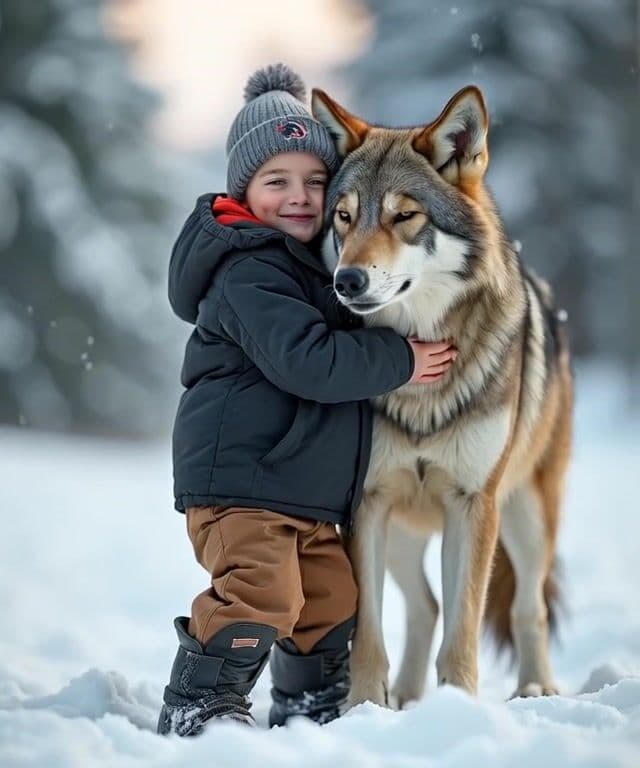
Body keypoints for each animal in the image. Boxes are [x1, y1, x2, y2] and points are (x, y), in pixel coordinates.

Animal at [311, 85, 573, 707]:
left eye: (405, 216)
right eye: (344, 217)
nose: (347, 281)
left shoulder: (472, 503)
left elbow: (464, 627)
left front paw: (460, 706)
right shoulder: (367, 503)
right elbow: (369, 630)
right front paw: (364, 707)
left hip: (528, 517)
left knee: (527, 607)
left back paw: (536, 689)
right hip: (404, 529)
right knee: (424, 606)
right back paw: (406, 700)